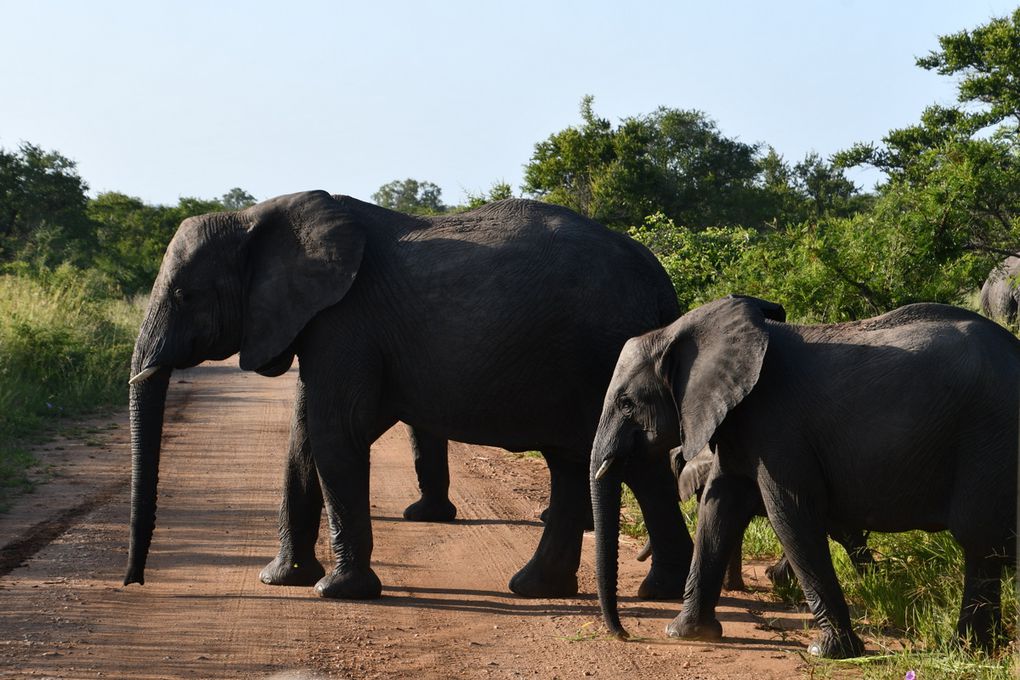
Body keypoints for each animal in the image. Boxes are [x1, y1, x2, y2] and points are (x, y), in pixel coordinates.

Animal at [123, 190, 689, 599]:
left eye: (184, 296)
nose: (134, 581)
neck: (254, 217)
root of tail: (662, 282)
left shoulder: (345, 320)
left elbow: (335, 431)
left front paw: (337, 592)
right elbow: (305, 440)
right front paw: (281, 579)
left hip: (596, 351)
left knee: (607, 461)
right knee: (594, 463)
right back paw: (592, 591)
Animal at [591, 295, 1020, 656]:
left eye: (626, 404)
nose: (625, 634)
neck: (680, 329)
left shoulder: (779, 426)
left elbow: (790, 514)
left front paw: (828, 652)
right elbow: (719, 506)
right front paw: (686, 634)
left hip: (991, 433)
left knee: (979, 541)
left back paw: (964, 649)